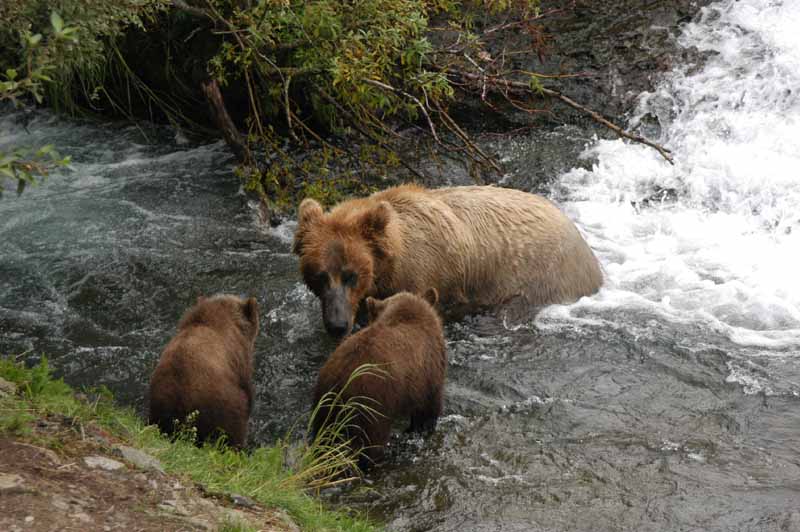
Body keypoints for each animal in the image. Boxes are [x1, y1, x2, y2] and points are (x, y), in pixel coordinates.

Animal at [310, 288, 446, 470]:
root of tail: (339, 382)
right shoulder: (429, 374)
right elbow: (428, 410)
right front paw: (423, 429)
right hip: (371, 406)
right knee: (370, 446)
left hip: (324, 404)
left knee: (323, 440)